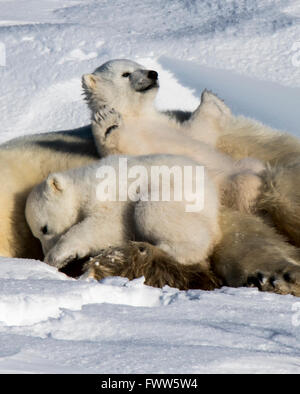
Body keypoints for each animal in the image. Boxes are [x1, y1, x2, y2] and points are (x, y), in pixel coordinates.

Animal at [25, 154, 220, 270]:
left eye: (44, 229)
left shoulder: (108, 197)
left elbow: (108, 226)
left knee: (151, 210)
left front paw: (58, 256)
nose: (44, 253)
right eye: (35, 235)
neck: (82, 185)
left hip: (183, 199)